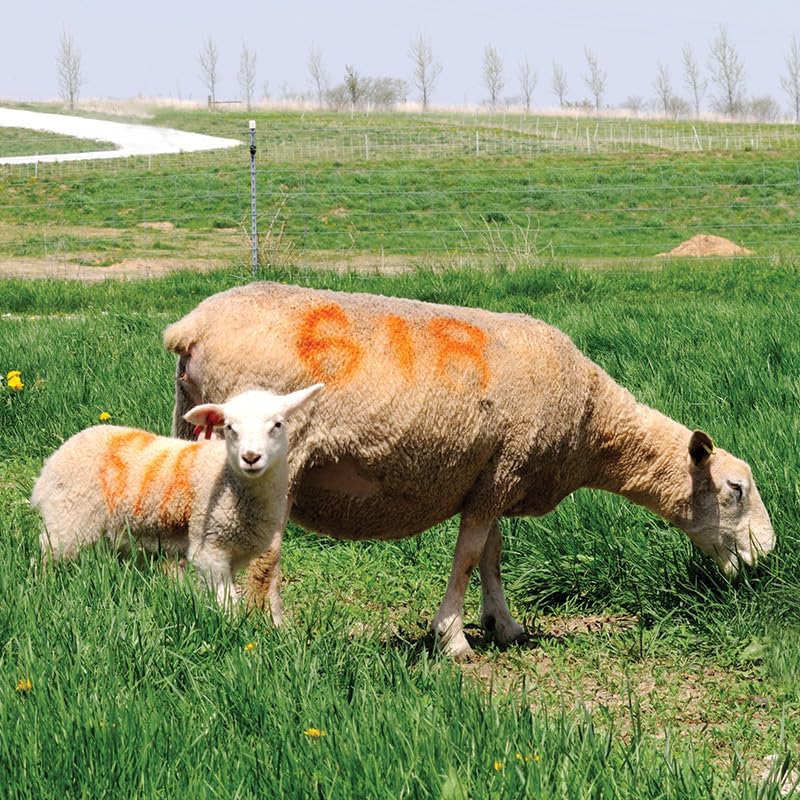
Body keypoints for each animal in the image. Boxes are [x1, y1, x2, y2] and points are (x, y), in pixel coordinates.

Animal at [32, 384, 323, 607]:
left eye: (277, 424)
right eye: (230, 427)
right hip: (68, 520)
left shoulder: (232, 554)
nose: (251, 457)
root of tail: (50, 465)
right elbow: (226, 602)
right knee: (46, 557)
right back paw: (44, 589)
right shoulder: (209, 548)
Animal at [163, 281, 775, 658]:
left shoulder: (498, 474)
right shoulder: (499, 475)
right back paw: (277, 631)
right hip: (269, 464)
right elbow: (467, 557)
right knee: (266, 557)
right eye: (735, 489)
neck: (590, 422)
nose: (767, 557)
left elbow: (492, 559)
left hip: (190, 431)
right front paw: (452, 638)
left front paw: (503, 625)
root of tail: (192, 327)